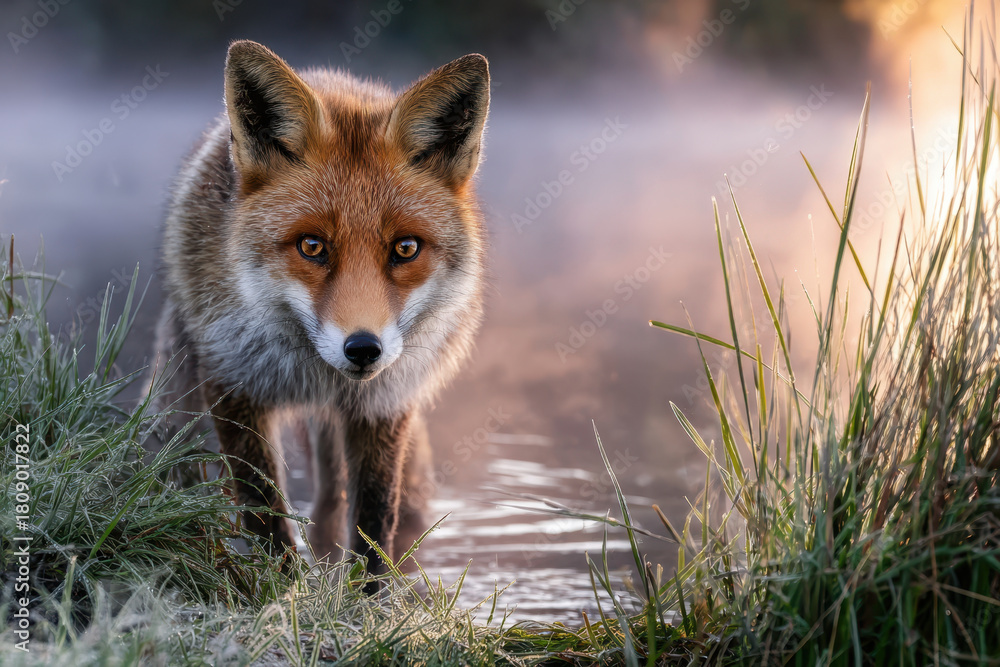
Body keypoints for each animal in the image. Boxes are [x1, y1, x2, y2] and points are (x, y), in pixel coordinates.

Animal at [148, 40, 490, 581]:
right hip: (177, 403)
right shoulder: (233, 384)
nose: (363, 349)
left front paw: (366, 597)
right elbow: (263, 509)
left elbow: (374, 523)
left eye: (406, 248)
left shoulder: (384, 402)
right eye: (312, 246)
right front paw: (282, 590)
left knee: (338, 502)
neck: (314, 375)